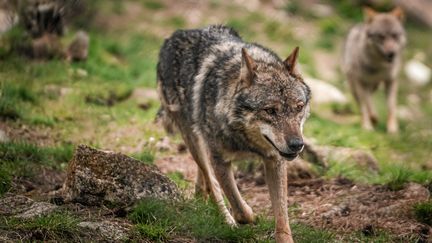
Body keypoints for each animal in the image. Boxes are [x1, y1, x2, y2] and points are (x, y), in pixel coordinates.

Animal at [157, 25, 308, 243]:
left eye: (299, 107)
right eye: (270, 110)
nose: (297, 144)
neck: (246, 141)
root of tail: (176, 34)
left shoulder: (275, 160)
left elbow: (282, 219)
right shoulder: (220, 160)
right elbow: (240, 210)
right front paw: (250, 215)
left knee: (205, 180)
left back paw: (201, 195)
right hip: (194, 140)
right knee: (212, 183)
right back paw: (226, 219)